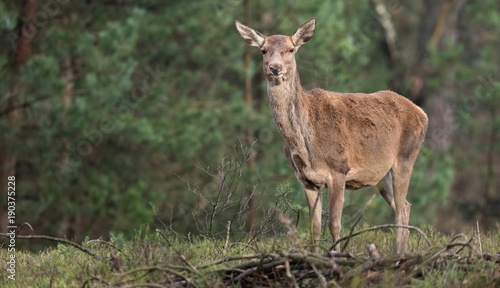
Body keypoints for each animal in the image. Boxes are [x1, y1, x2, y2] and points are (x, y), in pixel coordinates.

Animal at [236, 17, 428, 254]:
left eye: (291, 49)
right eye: (263, 50)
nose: (275, 67)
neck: (306, 143)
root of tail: (422, 113)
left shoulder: (339, 170)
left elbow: (334, 224)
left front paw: (337, 254)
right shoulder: (307, 179)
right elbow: (315, 227)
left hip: (406, 157)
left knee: (402, 208)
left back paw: (399, 253)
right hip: (382, 175)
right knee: (406, 206)